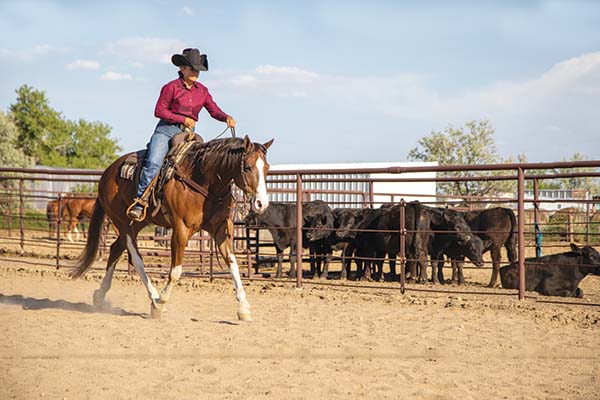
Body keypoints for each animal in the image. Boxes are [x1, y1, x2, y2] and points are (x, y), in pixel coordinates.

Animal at [71, 136, 274, 320]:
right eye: (247, 167)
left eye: (267, 168)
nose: (261, 203)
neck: (204, 181)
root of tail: (107, 172)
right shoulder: (181, 229)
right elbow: (176, 272)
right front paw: (160, 303)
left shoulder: (221, 229)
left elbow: (233, 264)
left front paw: (244, 308)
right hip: (122, 221)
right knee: (136, 257)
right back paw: (154, 298)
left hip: (137, 223)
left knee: (115, 249)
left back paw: (100, 296)